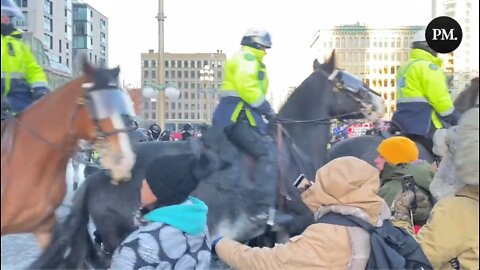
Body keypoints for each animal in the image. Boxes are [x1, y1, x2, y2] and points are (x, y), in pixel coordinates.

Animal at [31, 51, 386, 268]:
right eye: (345, 80)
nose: (379, 101)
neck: (294, 147)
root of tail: (97, 177)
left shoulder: (268, 237)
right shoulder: (296, 225)